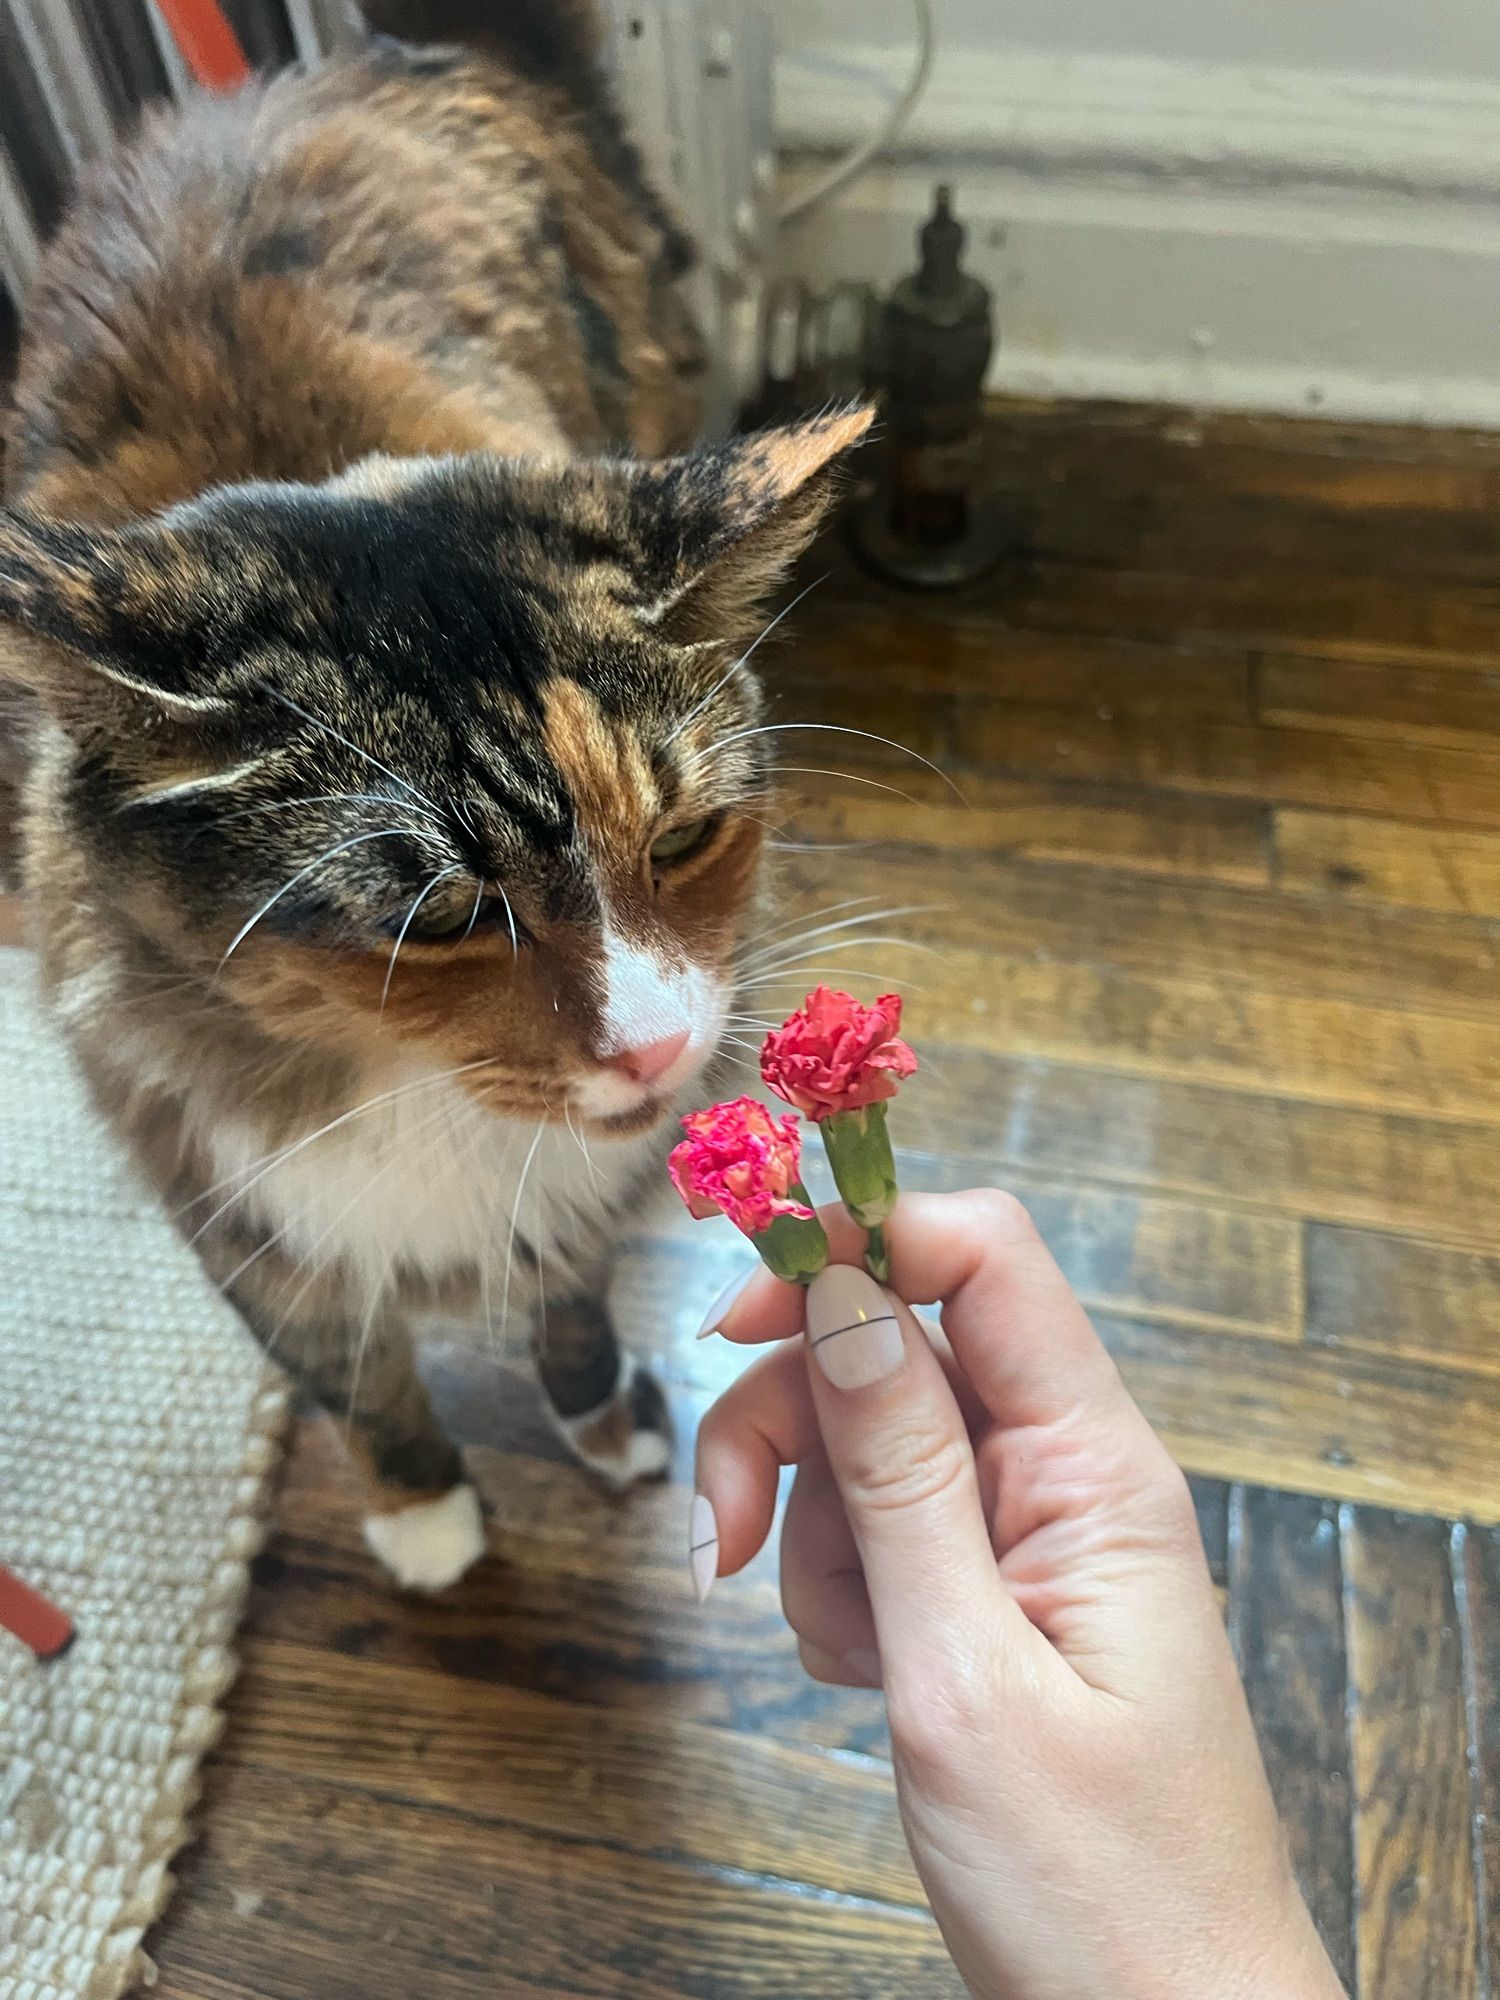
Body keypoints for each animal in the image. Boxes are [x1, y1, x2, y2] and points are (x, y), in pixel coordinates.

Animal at [0, 3, 868, 1592]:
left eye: (684, 837)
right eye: (448, 916)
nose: (662, 1051)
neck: (409, 1088)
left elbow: (568, 1294)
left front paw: (603, 1418)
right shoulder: (219, 1194)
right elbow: (353, 1373)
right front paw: (422, 1515)